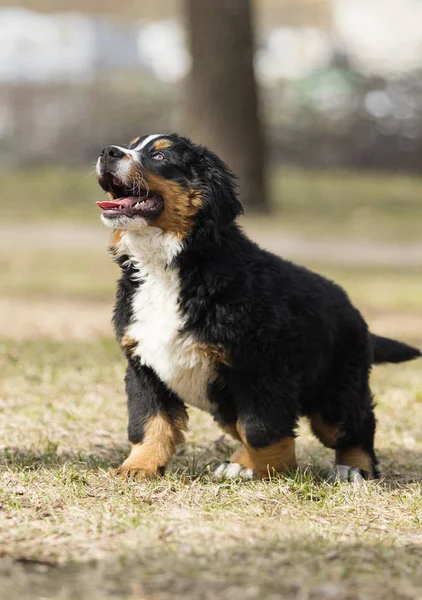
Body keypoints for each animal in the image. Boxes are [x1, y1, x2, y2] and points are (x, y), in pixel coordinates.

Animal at [95, 132, 418, 482]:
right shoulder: (144, 367)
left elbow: (261, 429)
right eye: (131, 146)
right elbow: (149, 423)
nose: (108, 151)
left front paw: (271, 468)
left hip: (337, 391)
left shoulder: (264, 367)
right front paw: (139, 467)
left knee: (356, 427)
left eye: (159, 157)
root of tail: (350, 306)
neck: (168, 265)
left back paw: (352, 469)